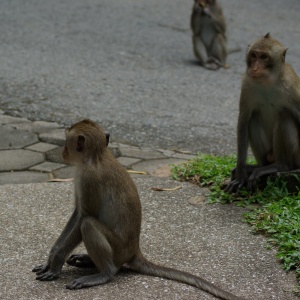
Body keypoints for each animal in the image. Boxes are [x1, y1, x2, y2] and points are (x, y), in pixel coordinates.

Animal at [32, 119, 244, 300]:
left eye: (66, 143)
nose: (63, 152)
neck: (96, 156)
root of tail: (135, 251)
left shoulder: (89, 179)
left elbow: (83, 217)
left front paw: (56, 263)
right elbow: (76, 214)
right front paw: (51, 258)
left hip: (118, 248)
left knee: (89, 225)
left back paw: (105, 273)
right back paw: (88, 261)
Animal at [226, 32, 300, 192]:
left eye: (264, 57)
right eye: (254, 55)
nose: (254, 68)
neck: (267, 81)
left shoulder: (292, 88)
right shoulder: (247, 85)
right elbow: (244, 120)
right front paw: (240, 170)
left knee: (284, 115)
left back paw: (282, 165)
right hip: (268, 154)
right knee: (253, 119)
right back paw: (258, 166)